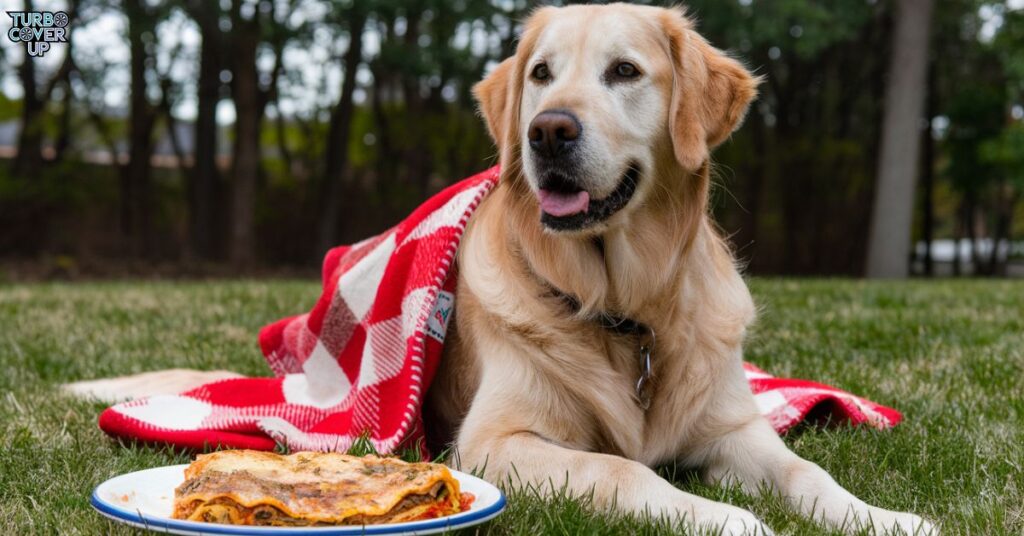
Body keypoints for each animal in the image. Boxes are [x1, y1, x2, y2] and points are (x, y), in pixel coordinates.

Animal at [66, 3, 937, 532]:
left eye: (626, 71)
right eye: (542, 73)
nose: (548, 131)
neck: (626, 305)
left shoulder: (736, 429)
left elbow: (808, 474)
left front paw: (886, 519)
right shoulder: (496, 441)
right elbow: (624, 471)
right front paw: (724, 518)